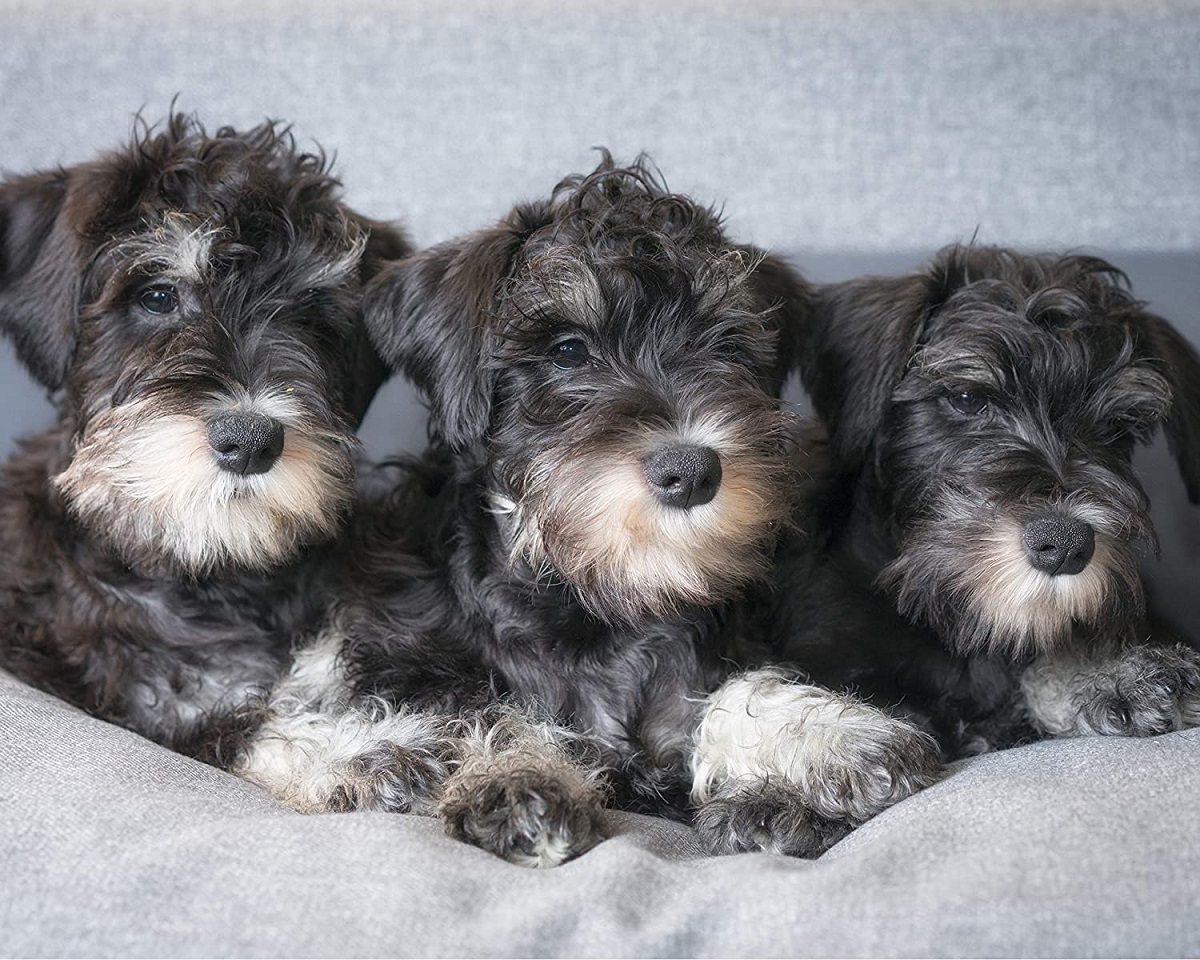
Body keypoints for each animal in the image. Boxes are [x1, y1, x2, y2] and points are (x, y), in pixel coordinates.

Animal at [0, 112, 408, 758]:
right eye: (157, 296)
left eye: (312, 318)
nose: (250, 439)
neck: (208, 571)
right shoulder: (157, 704)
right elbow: (267, 731)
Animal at [234, 156, 940, 864]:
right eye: (567, 351)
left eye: (728, 347)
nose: (691, 471)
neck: (587, 602)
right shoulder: (411, 662)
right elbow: (491, 713)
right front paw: (520, 783)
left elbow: (729, 692)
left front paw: (832, 742)